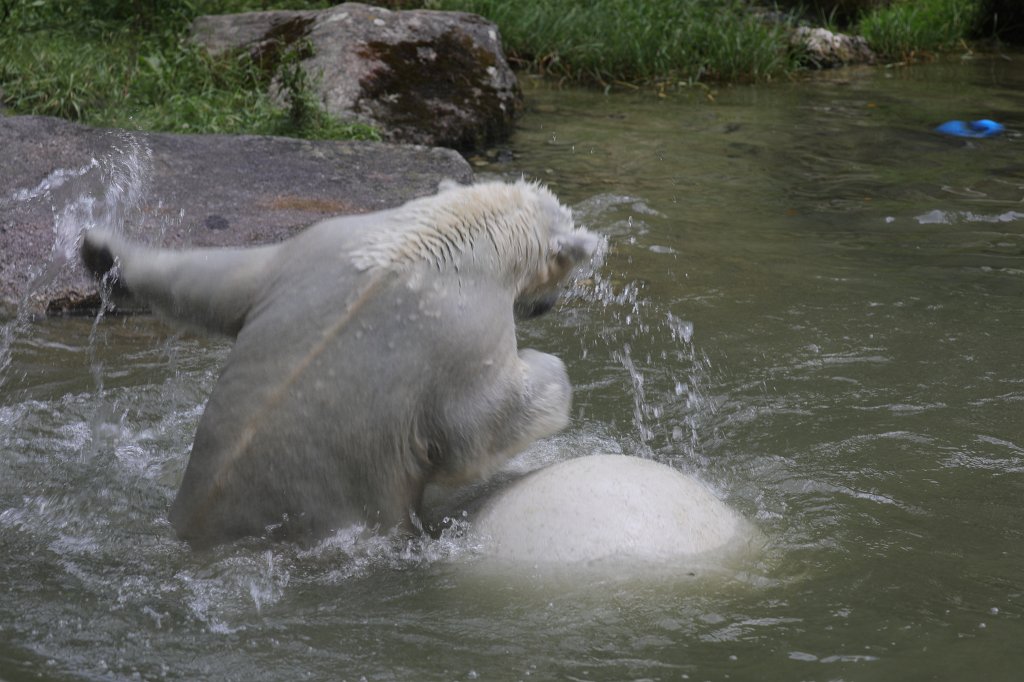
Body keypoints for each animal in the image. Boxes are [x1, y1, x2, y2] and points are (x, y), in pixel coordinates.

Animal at [81, 179, 600, 548]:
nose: (547, 306)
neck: (450, 237)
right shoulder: (464, 334)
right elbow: (473, 431)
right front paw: (550, 370)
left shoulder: (315, 247)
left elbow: (215, 280)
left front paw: (103, 253)